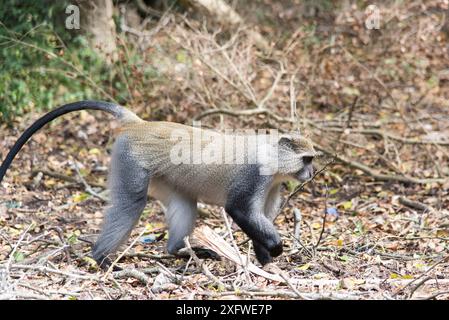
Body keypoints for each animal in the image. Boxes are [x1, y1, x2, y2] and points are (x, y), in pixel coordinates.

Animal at [0, 100, 316, 268]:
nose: (311, 174)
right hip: (130, 160)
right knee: (131, 203)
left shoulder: (272, 185)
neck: (273, 158)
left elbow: (259, 218)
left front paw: (266, 263)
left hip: (164, 178)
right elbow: (239, 210)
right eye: (307, 160)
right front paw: (275, 248)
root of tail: (140, 124)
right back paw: (101, 259)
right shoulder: (255, 176)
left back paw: (177, 251)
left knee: (185, 204)